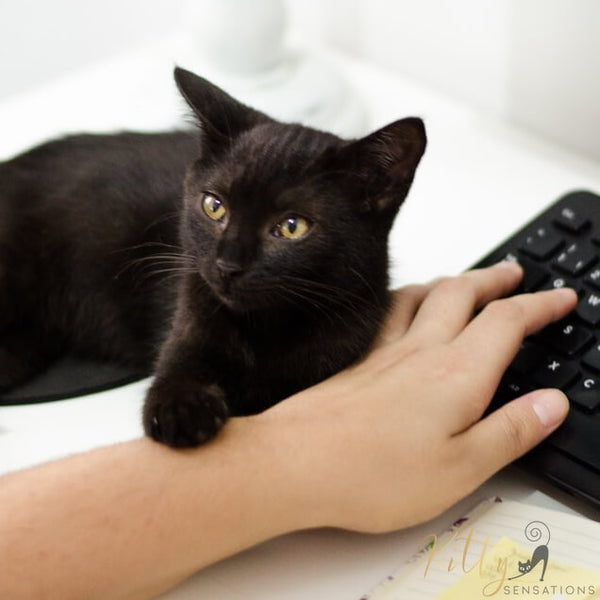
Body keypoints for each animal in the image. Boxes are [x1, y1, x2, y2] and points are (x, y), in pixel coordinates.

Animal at [0, 68, 426, 448]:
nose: (227, 266)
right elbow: (177, 369)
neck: (264, 329)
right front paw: (182, 409)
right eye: (214, 206)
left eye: (292, 227)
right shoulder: (190, 312)